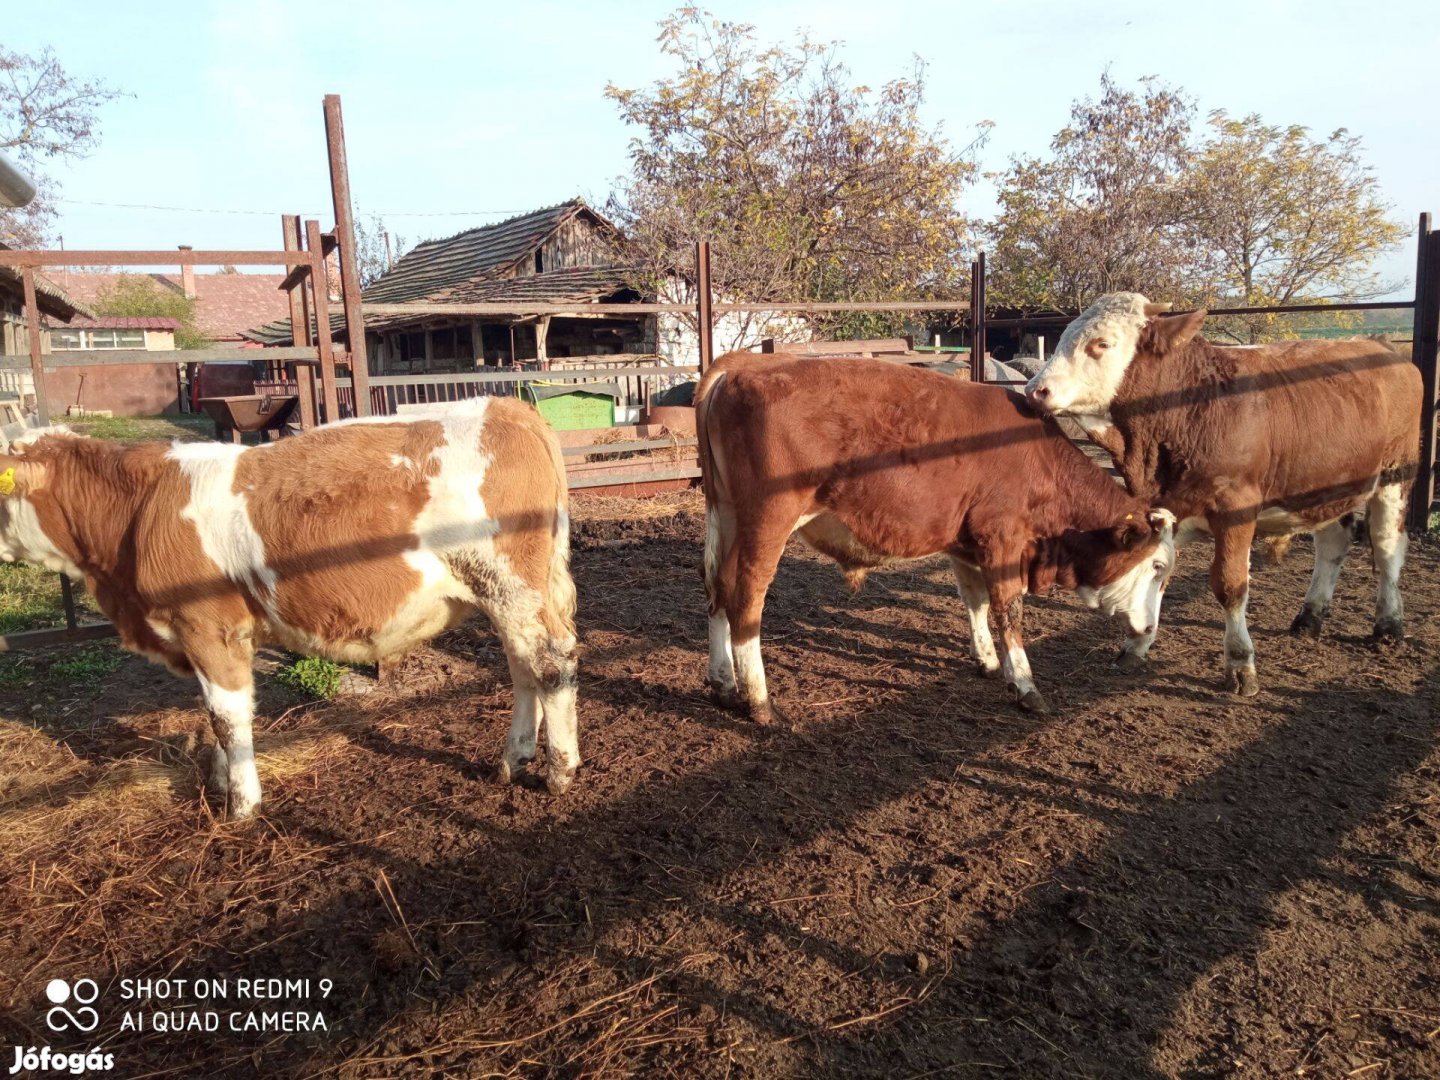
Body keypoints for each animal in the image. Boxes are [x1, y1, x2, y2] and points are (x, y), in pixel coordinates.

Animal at [0, 400, 578, 817]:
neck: (138, 510)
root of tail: (506, 407)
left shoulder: (208, 626)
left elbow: (226, 717)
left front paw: (240, 805)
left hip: (509, 583)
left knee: (551, 663)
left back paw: (560, 770)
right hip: (508, 594)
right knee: (521, 665)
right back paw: (514, 757)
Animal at [696, 351, 1180, 720]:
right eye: (1157, 567)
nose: (1149, 634)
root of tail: (743, 365)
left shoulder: (967, 544)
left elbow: (975, 602)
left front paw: (988, 661)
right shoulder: (1003, 539)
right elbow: (1008, 610)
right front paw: (1025, 685)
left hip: (727, 518)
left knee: (717, 589)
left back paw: (724, 684)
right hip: (767, 522)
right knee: (746, 598)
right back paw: (759, 701)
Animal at [1031, 292, 1422, 696]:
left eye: (1102, 344)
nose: (1035, 390)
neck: (1192, 406)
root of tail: (1380, 344)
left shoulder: (1236, 510)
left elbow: (1230, 585)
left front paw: (1240, 663)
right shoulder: (1166, 506)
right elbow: (1160, 571)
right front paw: (1138, 643)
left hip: (1396, 475)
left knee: (1388, 547)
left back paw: (1389, 625)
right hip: (1327, 487)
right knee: (1333, 544)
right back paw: (1310, 617)